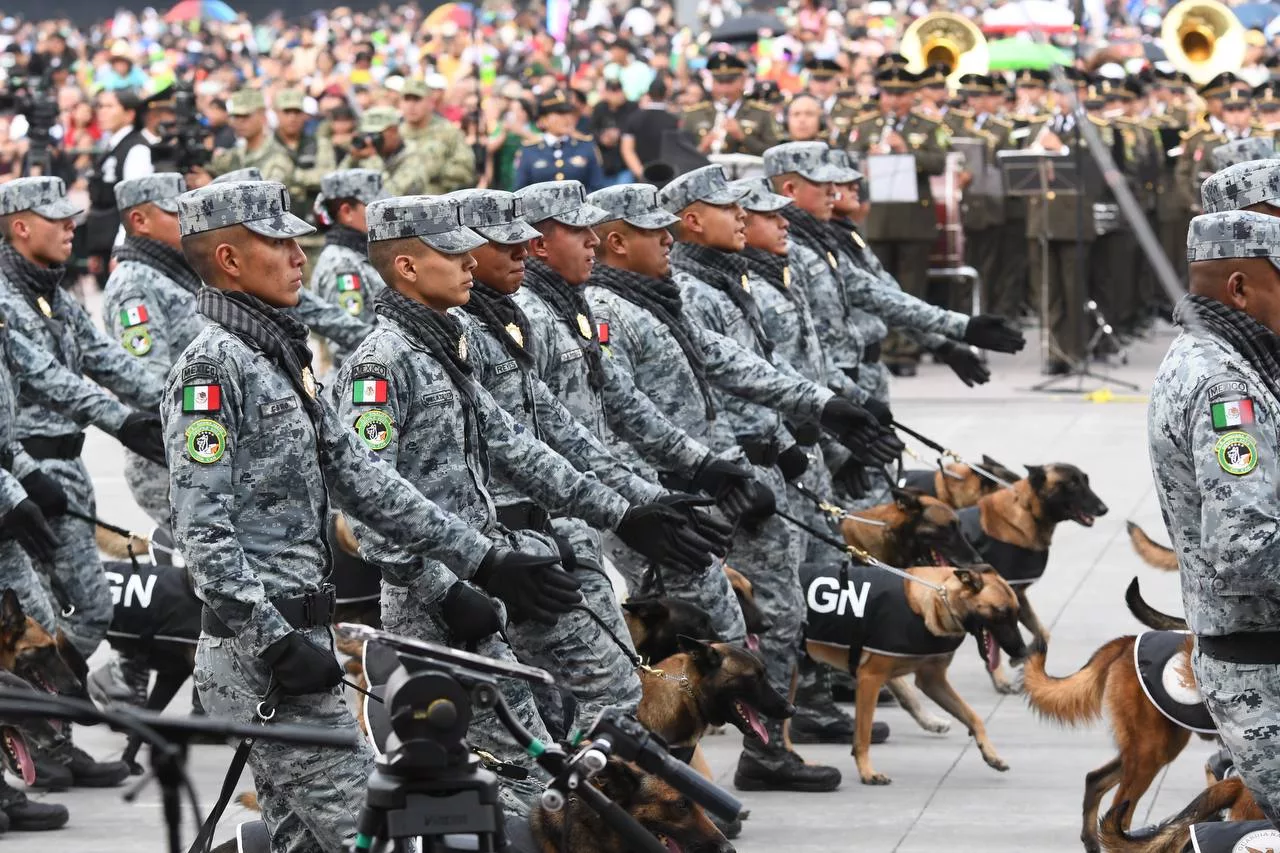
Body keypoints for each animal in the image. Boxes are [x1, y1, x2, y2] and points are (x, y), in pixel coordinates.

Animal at [803, 563, 1024, 783]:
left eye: (1017, 613)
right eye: (1002, 612)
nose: (1022, 652)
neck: (936, 599)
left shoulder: (932, 681)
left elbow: (973, 717)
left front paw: (990, 753)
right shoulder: (870, 678)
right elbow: (864, 734)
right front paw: (867, 772)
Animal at [1018, 630, 1218, 850]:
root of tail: (1127, 641)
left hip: (1151, 749)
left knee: (1095, 779)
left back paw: (1092, 843)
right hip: (1150, 752)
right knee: (1119, 817)